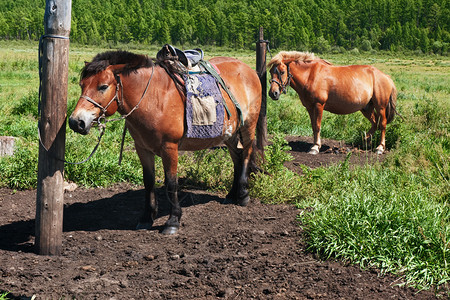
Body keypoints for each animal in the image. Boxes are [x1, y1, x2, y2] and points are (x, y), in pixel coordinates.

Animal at [268, 51, 396, 155]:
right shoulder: (309, 107)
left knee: (382, 124)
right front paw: (315, 145)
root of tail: (386, 76)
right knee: (374, 123)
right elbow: (313, 126)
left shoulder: (319, 105)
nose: (273, 93)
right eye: (270, 71)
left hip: (380, 107)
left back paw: (380, 148)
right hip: (366, 108)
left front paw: (315, 147)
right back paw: (366, 142)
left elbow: (317, 126)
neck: (310, 75)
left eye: (282, 72)